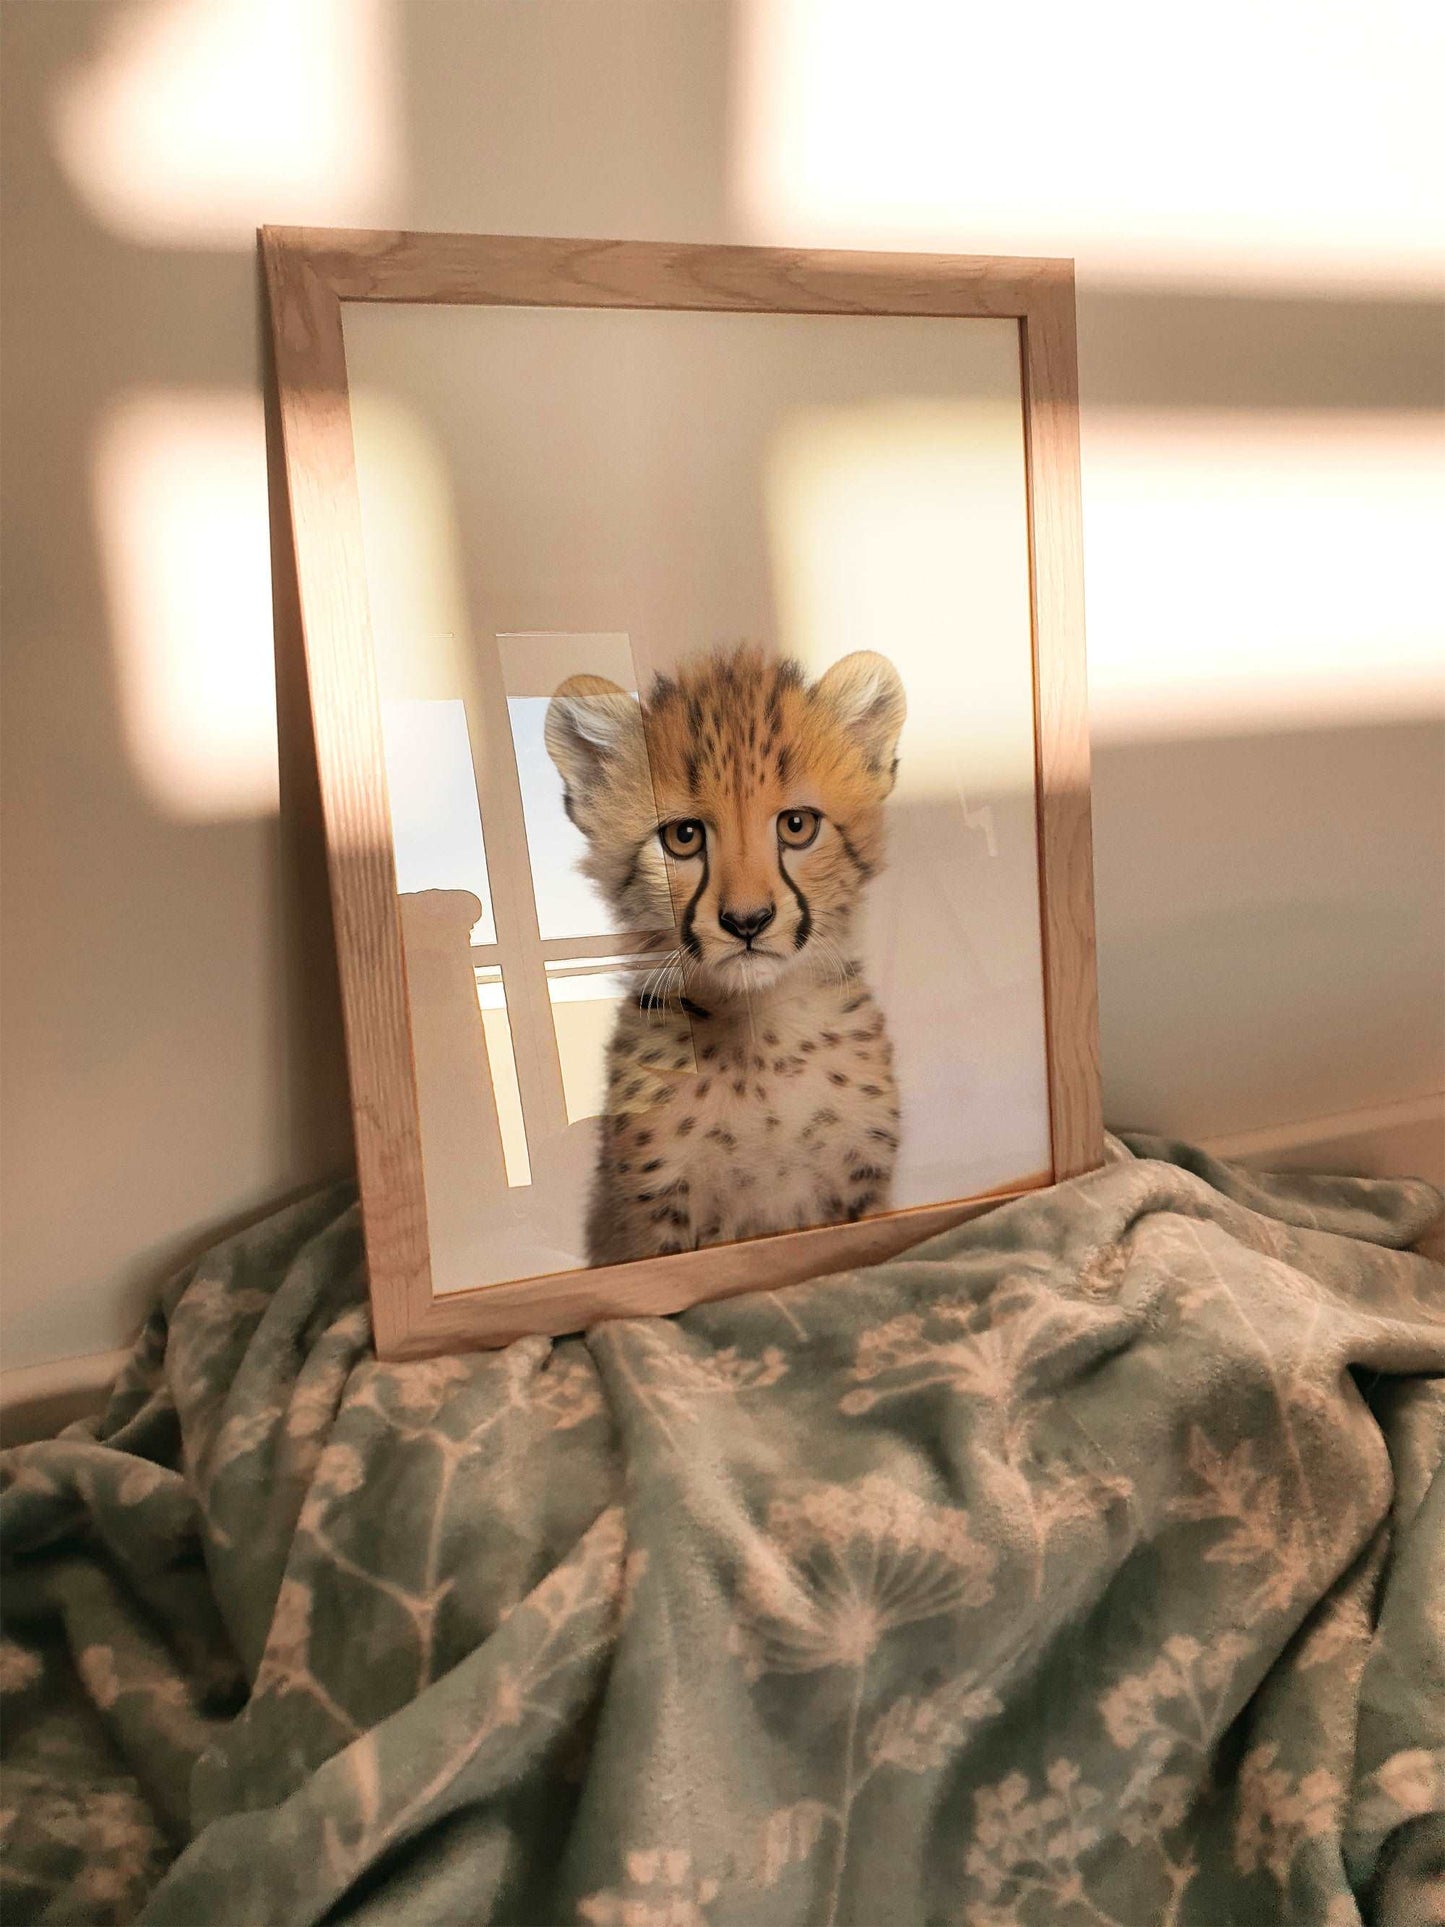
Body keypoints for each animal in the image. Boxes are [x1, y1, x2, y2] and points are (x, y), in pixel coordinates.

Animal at [544, 643, 906, 1266]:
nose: (746, 921)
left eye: (797, 825)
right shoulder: (652, 1220)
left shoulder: (861, 1188)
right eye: (684, 836)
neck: (759, 1043)